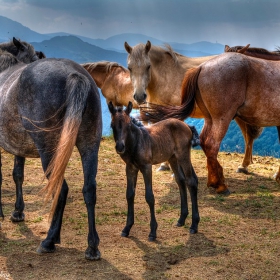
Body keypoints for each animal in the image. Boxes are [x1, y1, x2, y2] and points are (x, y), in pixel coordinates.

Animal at [107, 101, 199, 242]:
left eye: (128, 125)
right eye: (112, 125)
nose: (120, 147)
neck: (136, 142)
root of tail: (187, 126)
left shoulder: (146, 167)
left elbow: (149, 197)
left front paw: (152, 232)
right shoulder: (130, 167)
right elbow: (129, 195)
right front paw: (126, 228)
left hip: (183, 156)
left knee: (191, 182)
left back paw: (194, 225)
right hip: (173, 158)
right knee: (181, 181)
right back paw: (181, 219)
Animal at [124, 40, 266, 174]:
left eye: (148, 66)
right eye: (129, 68)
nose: (139, 96)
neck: (166, 76)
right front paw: (164, 165)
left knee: (248, 136)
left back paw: (244, 166)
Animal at [140, 51, 280, 194]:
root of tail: (202, 67)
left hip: (210, 118)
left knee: (204, 141)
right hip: (222, 118)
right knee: (212, 144)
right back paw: (220, 185)